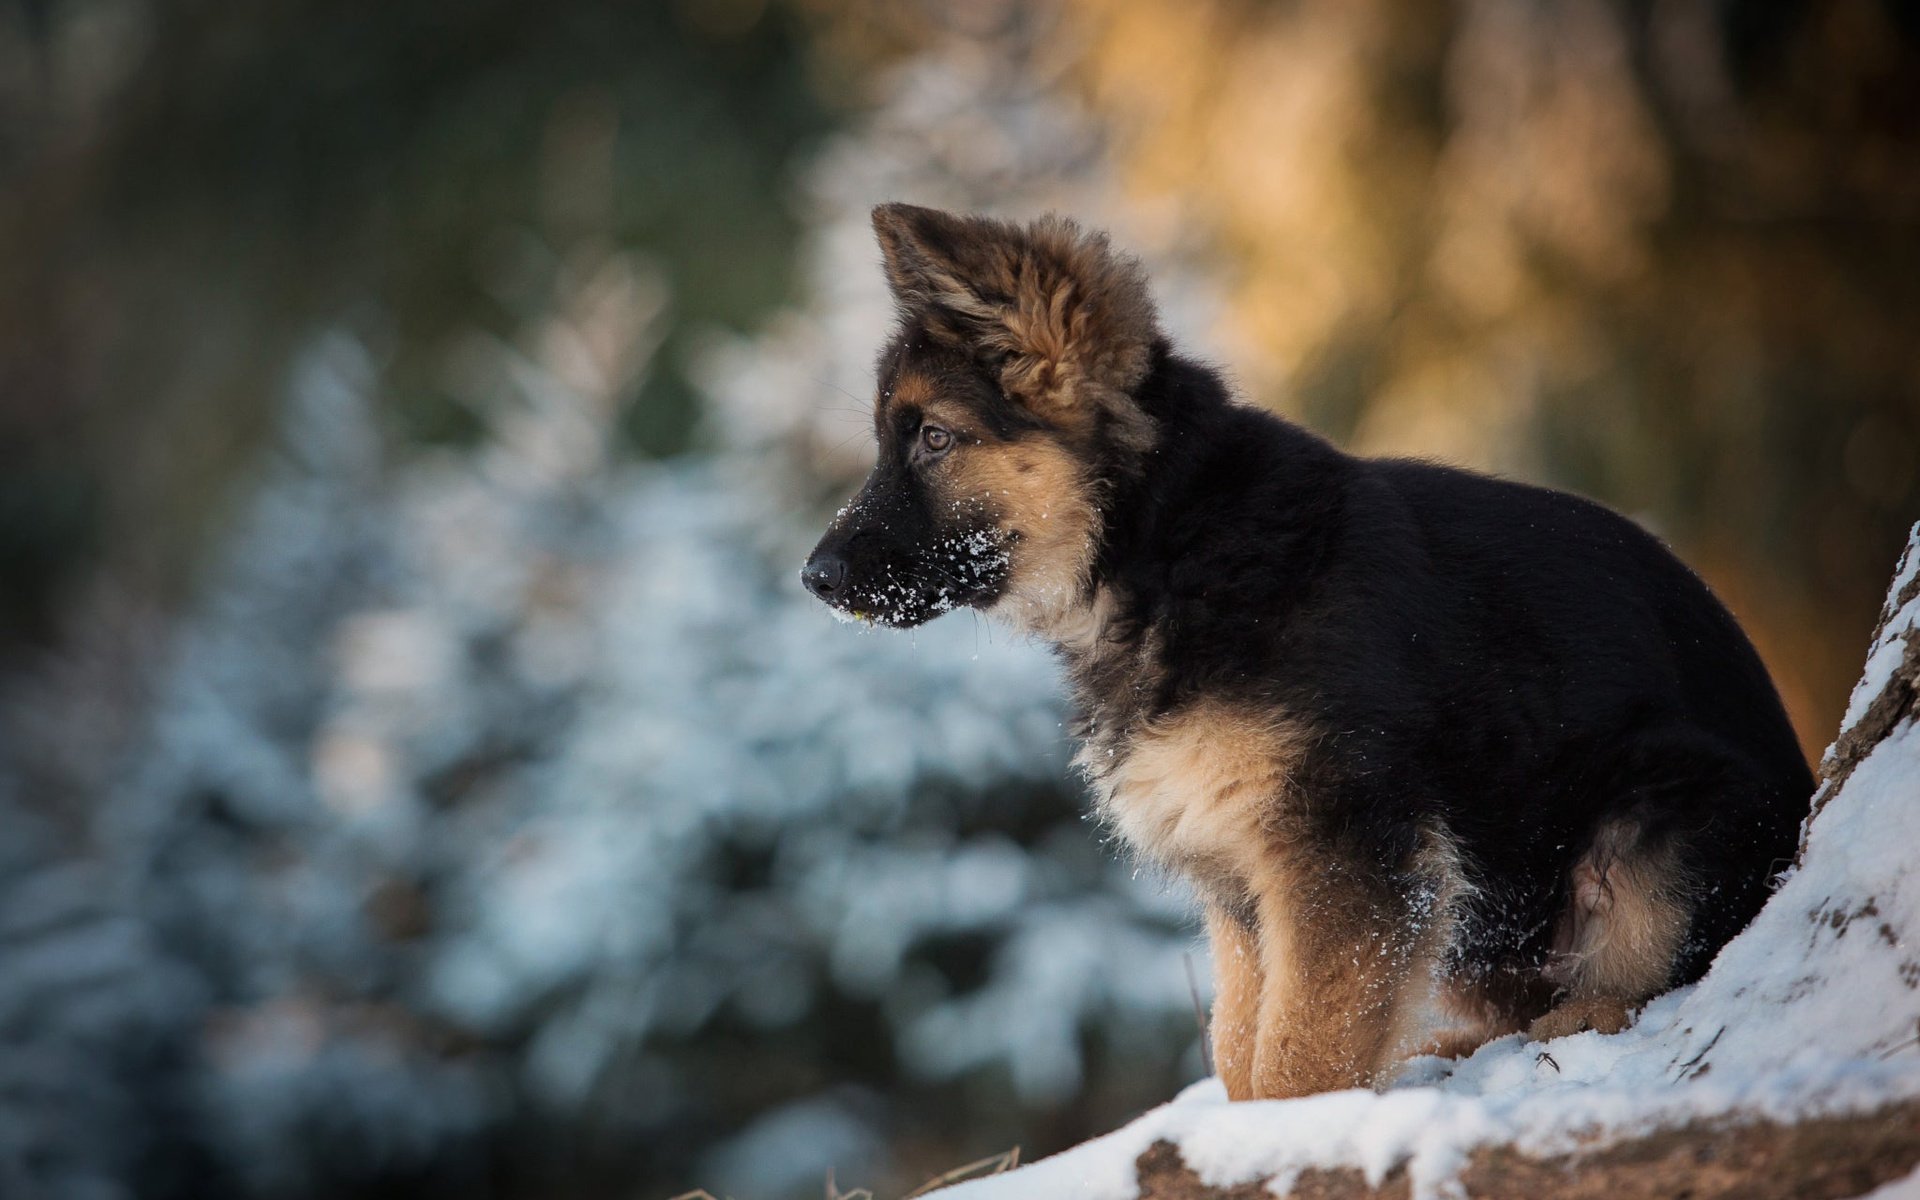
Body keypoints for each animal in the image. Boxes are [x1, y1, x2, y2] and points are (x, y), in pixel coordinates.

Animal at [806, 203, 1812, 1098]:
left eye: (936, 440)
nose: (813, 578)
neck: (1171, 545)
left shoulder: (1343, 851)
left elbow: (1299, 1056)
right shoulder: (1244, 878)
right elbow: (1239, 1046)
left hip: (1652, 820)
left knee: (1651, 983)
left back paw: (1572, 1024)